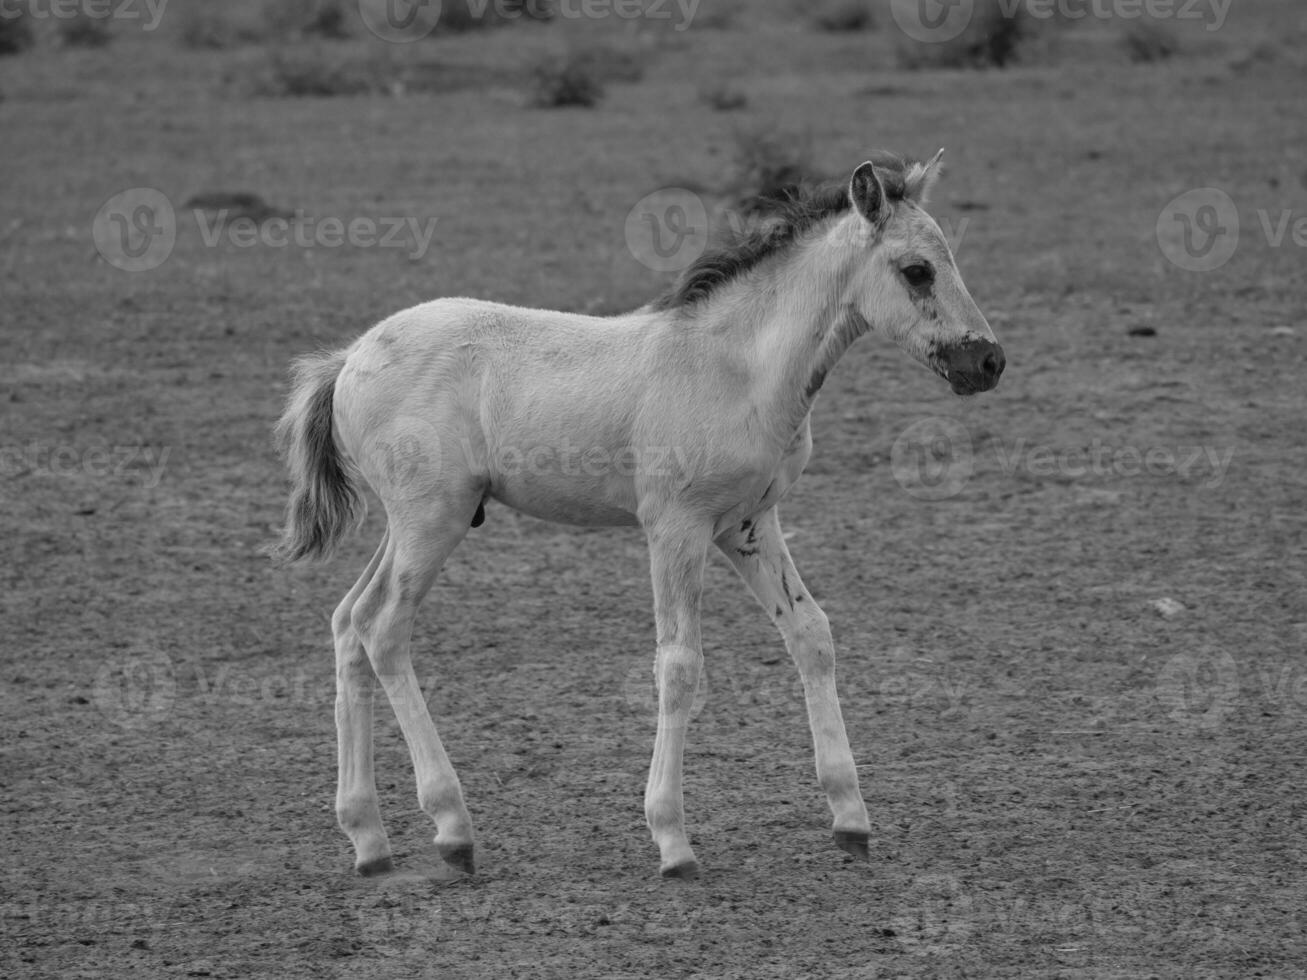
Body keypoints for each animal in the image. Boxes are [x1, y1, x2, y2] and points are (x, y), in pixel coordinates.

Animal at [273, 153, 1009, 883]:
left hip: (405, 526)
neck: (737, 368)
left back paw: (368, 838)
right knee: (383, 631)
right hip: (432, 520)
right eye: (917, 270)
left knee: (348, 623)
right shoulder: (675, 527)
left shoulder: (749, 525)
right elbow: (679, 665)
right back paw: (451, 827)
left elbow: (811, 635)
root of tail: (349, 358)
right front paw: (672, 839)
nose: (988, 360)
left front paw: (850, 819)